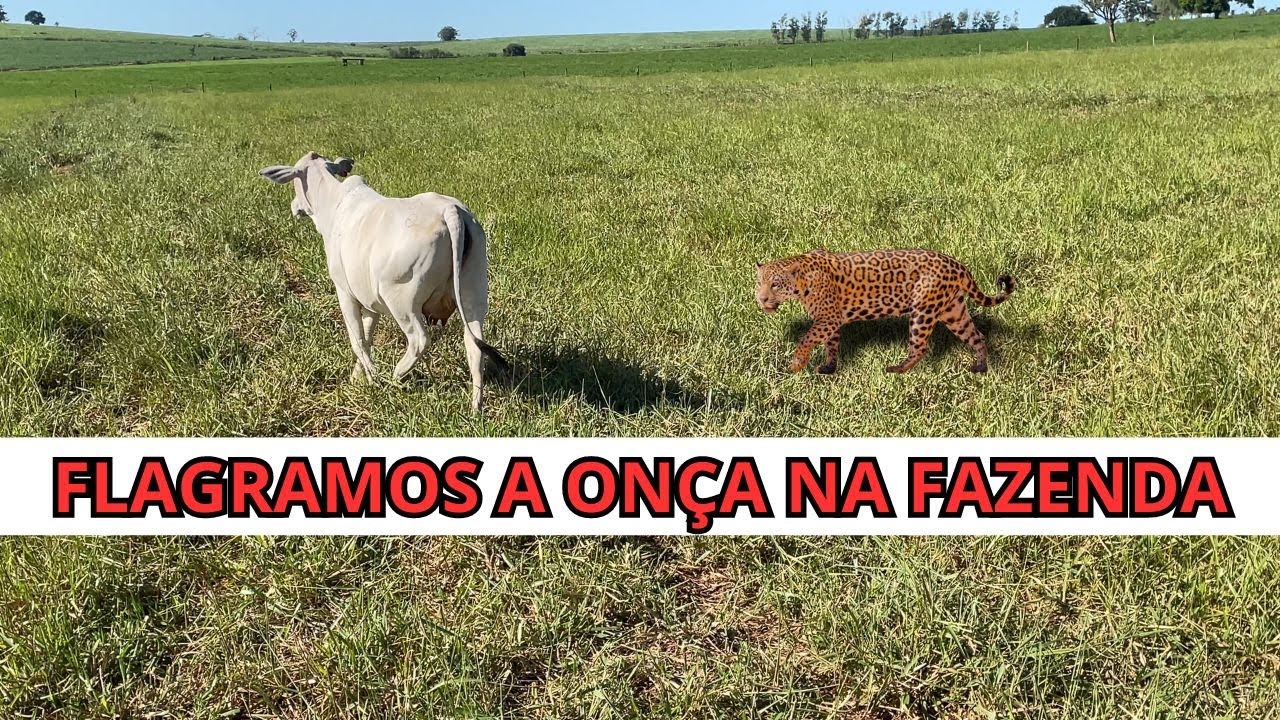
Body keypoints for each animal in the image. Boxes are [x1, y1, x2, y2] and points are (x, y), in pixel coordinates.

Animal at [259, 152, 508, 412]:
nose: (294, 207)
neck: (333, 205)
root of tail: (450, 211)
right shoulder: (369, 301)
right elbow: (367, 336)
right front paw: (358, 376)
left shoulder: (344, 291)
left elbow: (357, 339)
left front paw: (372, 378)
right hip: (473, 291)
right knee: (474, 344)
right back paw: (476, 406)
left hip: (402, 301)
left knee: (419, 340)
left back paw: (395, 377)